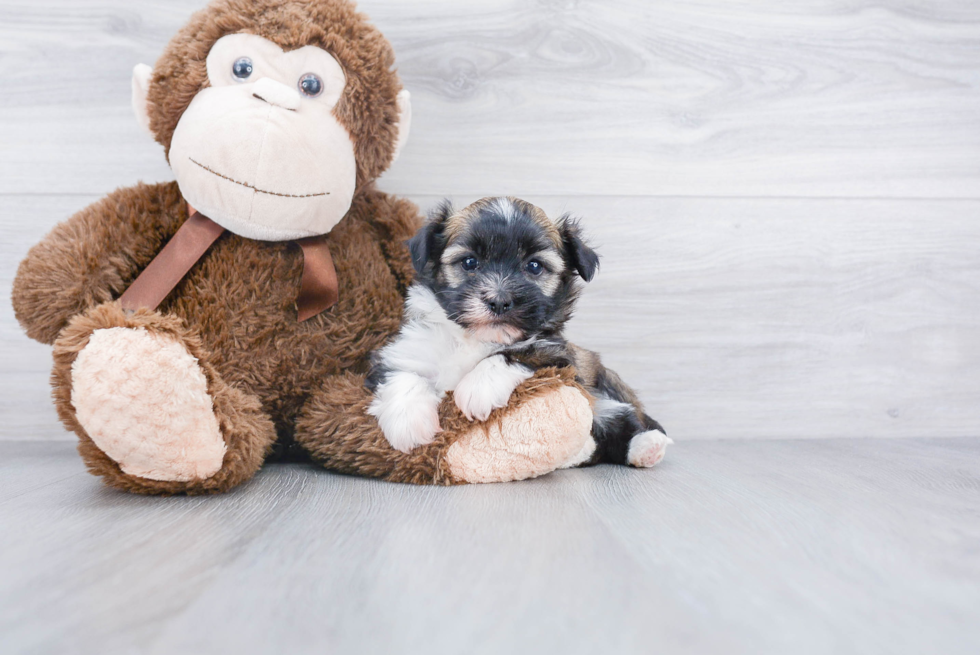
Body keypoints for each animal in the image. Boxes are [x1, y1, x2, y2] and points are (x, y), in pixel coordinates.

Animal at [364, 197, 668, 468]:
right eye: (469, 262)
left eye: (534, 266)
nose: (499, 301)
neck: (475, 338)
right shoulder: (402, 351)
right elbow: (404, 375)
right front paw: (408, 423)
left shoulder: (558, 354)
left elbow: (515, 353)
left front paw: (477, 388)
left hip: (604, 397)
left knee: (620, 423)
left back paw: (647, 447)